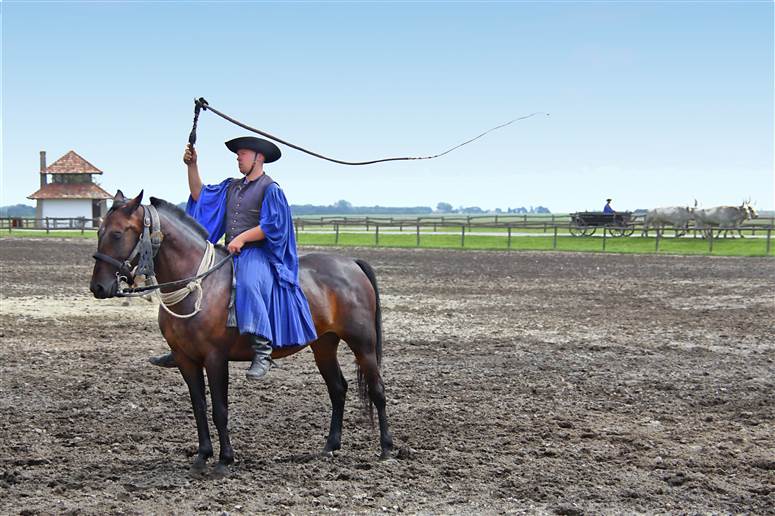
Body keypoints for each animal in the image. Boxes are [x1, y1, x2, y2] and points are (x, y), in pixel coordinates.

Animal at [91, 190, 394, 476]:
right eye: (99, 231)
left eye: (117, 234)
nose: (98, 287)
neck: (200, 287)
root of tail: (351, 264)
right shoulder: (186, 360)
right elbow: (199, 407)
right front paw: (202, 456)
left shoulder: (215, 359)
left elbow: (219, 409)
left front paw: (225, 460)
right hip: (324, 345)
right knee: (338, 389)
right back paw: (331, 446)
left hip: (363, 344)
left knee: (377, 389)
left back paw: (387, 448)